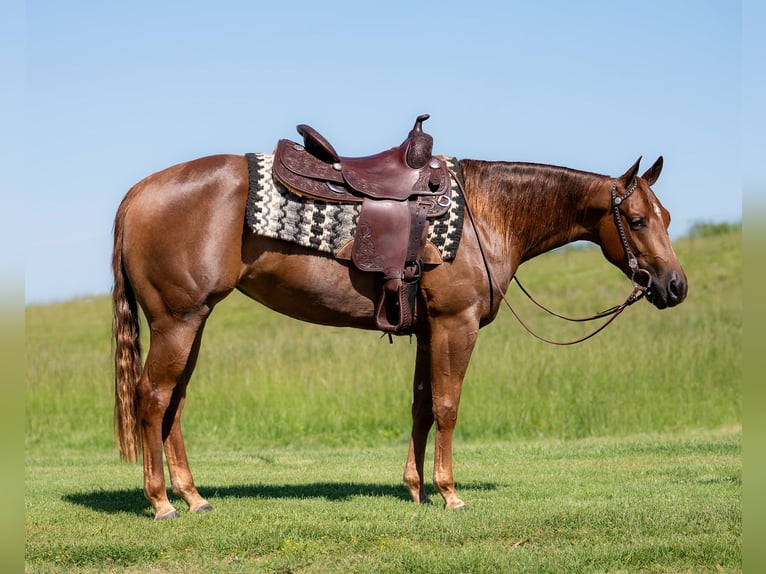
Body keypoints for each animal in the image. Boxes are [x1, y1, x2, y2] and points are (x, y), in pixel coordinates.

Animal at [111, 146, 688, 520]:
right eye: (638, 220)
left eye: (667, 216)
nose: (675, 286)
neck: (486, 213)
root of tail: (137, 194)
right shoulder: (457, 324)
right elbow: (448, 407)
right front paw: (450, 493)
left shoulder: (429, 330)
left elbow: (421, 405)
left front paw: (417, 491)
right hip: (178, 321)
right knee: (152, 396)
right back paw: (161, 502)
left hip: (193, 321)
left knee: (174, 401)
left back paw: (193, 497)